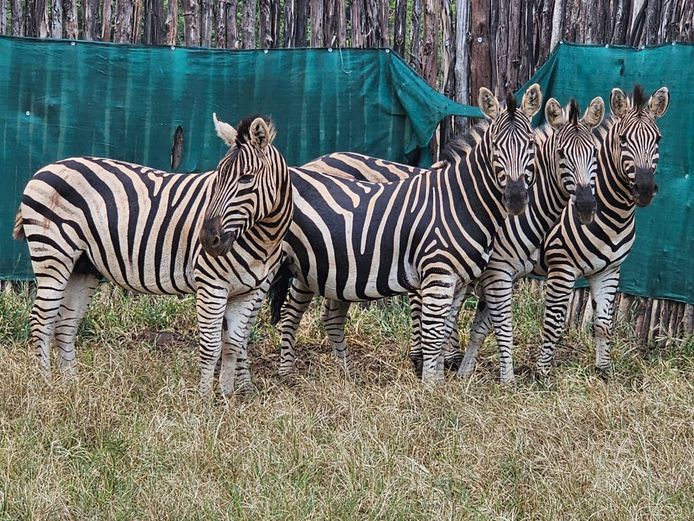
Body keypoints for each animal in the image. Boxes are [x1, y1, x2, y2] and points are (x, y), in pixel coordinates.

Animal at [12, 114, 292, 396]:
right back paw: (45, 383)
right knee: (42, 319)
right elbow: (212, 347)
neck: (265, 238)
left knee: (66, 324)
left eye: (246, 178)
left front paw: (225, 397)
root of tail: (45, 169)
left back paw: (70, 384)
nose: (206, 240)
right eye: (217, 178)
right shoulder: (212, 285)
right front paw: (204, 399)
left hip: (83, 265)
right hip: (53, 254)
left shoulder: (248, 291)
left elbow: (233, 345)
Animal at [278, 97, 606, 383]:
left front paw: (454, 371)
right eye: (561, 154)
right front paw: (502, 379)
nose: (587, 206)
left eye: (596, 155)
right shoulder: (496, 271)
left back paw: (346, 374)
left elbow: (464, 324)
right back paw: (287, 373)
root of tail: (317, 161)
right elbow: (498, 323)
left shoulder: (476, 274)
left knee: (331, 315)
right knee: (292, 309)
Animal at [529, 85, 669, 376]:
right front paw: (542, 374)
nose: (644, 189)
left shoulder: (608, 271)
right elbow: (553, 324)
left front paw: (604, 370)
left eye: (658, 139)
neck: (615, 215)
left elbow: (604, 324)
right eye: (624, 140)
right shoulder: (562, 267)